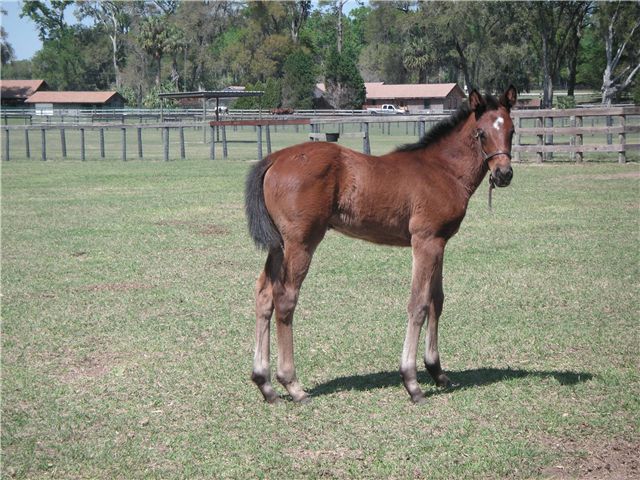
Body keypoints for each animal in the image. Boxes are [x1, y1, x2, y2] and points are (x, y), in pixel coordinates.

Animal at [245, 86, 517, 404]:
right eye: (481, 133)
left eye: (511, 130)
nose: (504, 174)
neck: (443, 170)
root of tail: (274, 159)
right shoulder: (425, 241)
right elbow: (418, 304)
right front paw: (412, 382)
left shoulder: (439, 242)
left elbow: (436, 301)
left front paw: (437, 372)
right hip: (301, 242)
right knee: (285, 298)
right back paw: (292, 385)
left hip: (278, 245)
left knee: (264, 294)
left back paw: (265, 384)